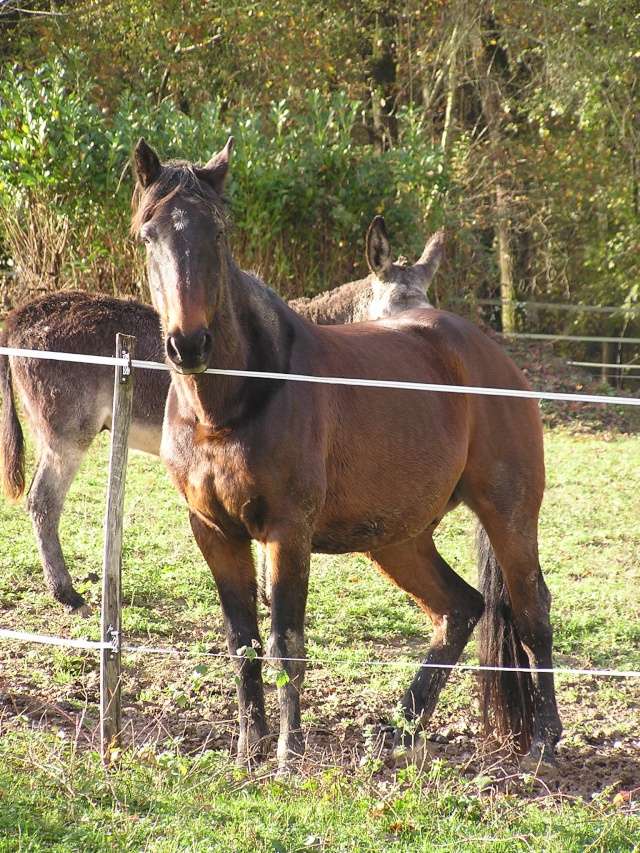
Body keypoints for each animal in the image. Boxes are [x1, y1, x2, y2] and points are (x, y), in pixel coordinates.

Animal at [0, 223, 442, 616]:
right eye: (392, 317)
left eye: (428, 316)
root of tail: (20, 316)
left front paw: (266, 594)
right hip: (68, 435)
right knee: (43, 502)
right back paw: (66, 594)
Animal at [130, 138, 560, 764]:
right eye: (149, 234)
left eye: (219, 233)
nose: (188, 344)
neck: (234, 401)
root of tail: (491, 356)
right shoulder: (213, 531)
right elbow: (242, 642)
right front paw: (249, 750)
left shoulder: (287, 532)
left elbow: (286, 642)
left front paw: (287, 755)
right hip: (398, 536)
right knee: (460, 609)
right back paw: (399, 730)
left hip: (509, 515)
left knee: (531, 614)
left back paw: (545, 742)